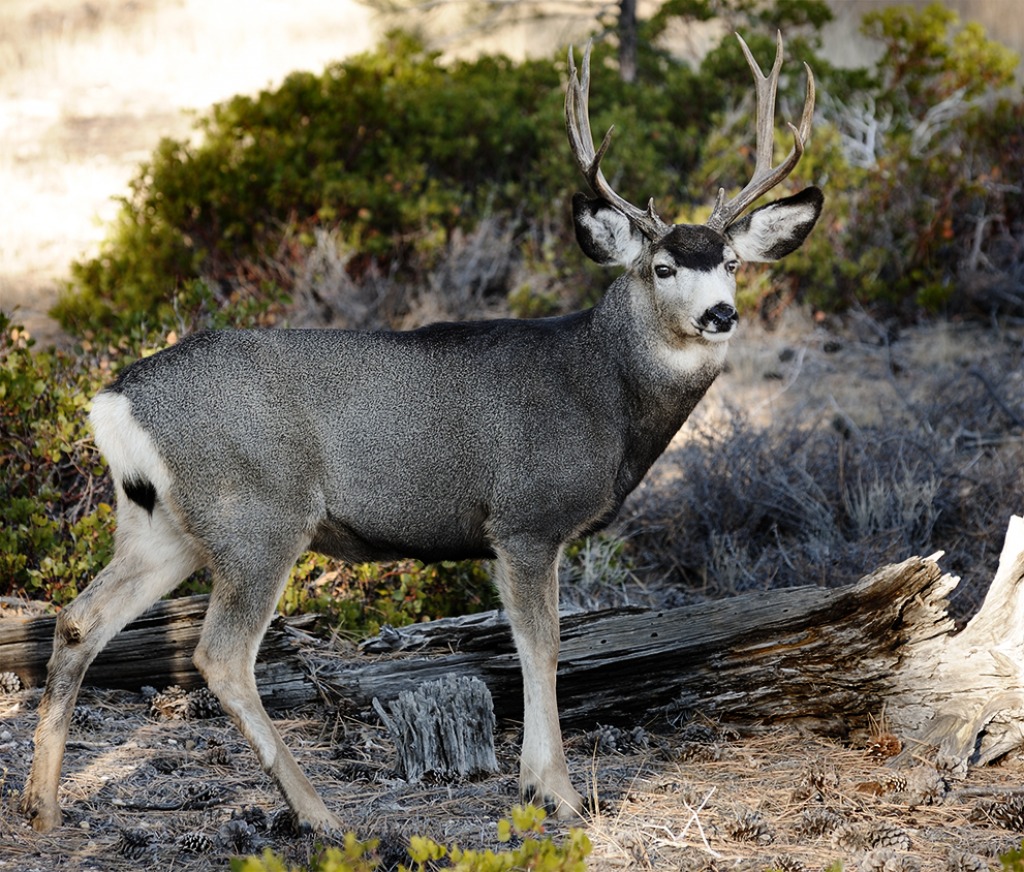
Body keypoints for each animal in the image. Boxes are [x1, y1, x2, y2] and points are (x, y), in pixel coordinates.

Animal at [22, 32, 823, 831]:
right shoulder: (526, 517)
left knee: (79, 619)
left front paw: (536, 782)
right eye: (661, 267)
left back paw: (44, 806)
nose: (721, 313)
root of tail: (114, 399)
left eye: (730, 262)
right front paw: (555, 791)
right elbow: (542, 645)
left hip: (162, 523)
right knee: (218, 654)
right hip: (258, 511)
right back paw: (317, 812)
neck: (602, 390)